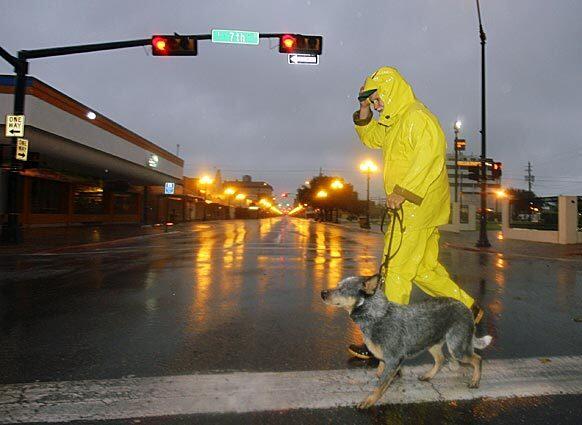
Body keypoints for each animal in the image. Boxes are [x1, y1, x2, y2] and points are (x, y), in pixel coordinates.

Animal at [322, 274, 496, 410]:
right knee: (441, 359)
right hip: (431, 342)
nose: (322, 292)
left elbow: (379, 385)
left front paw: (369, 401)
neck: (377, 316)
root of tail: (466, 308)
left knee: (477, 359)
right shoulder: (385, 359)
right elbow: (380, 374)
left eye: (342, 289)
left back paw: (475, 381)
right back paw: (428, 376)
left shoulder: (393, 359)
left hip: (457, 348)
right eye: (337, 285)